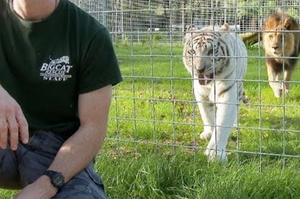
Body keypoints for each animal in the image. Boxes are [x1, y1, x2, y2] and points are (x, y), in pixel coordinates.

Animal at [183, 24, 248, 162]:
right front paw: (208, 133)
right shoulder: (200, 94)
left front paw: (215, 154)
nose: (199, 69)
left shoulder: (228, 93)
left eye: (211, 51)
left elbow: (222, 123)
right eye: (192, 52)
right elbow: (206, 114)